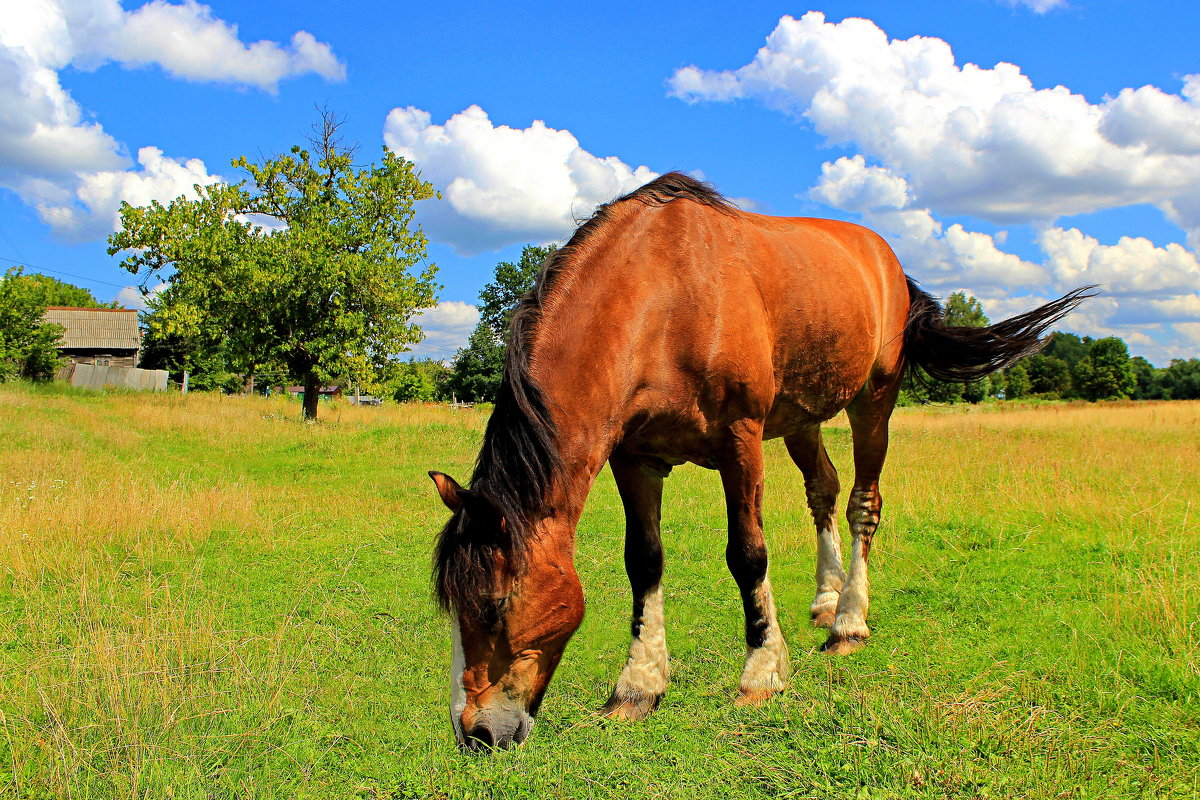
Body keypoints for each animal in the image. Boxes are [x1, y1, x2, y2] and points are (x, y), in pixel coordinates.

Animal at [427, 173, 1094, 753]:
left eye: (492, 606)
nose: (476, 734)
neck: (664, 300)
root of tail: (888, 261)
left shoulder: (740, 441)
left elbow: (747, 554)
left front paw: (762, 672)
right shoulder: (636, 459)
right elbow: (643, 561)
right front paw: (638, 687)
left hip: (873, 401)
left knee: (863, 502)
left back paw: (848, 621)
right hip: (802, 419)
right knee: (823, 489)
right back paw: (825, 598)